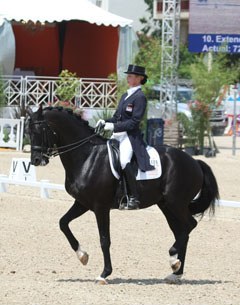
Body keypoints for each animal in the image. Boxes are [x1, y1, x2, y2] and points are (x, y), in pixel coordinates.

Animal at [26, 105, 219, 284]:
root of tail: (195, 161)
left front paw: (104, 274)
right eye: (28, 132)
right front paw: (83, 256)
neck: (87, 156)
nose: (36, 160)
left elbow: (104, 240)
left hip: (176, 203)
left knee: (189, 226)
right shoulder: (82, 203)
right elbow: (63, 223)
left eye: (39, 131)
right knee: (181, 231)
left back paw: (173, 260)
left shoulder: (100, 207)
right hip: (166, 205)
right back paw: (175, 271)